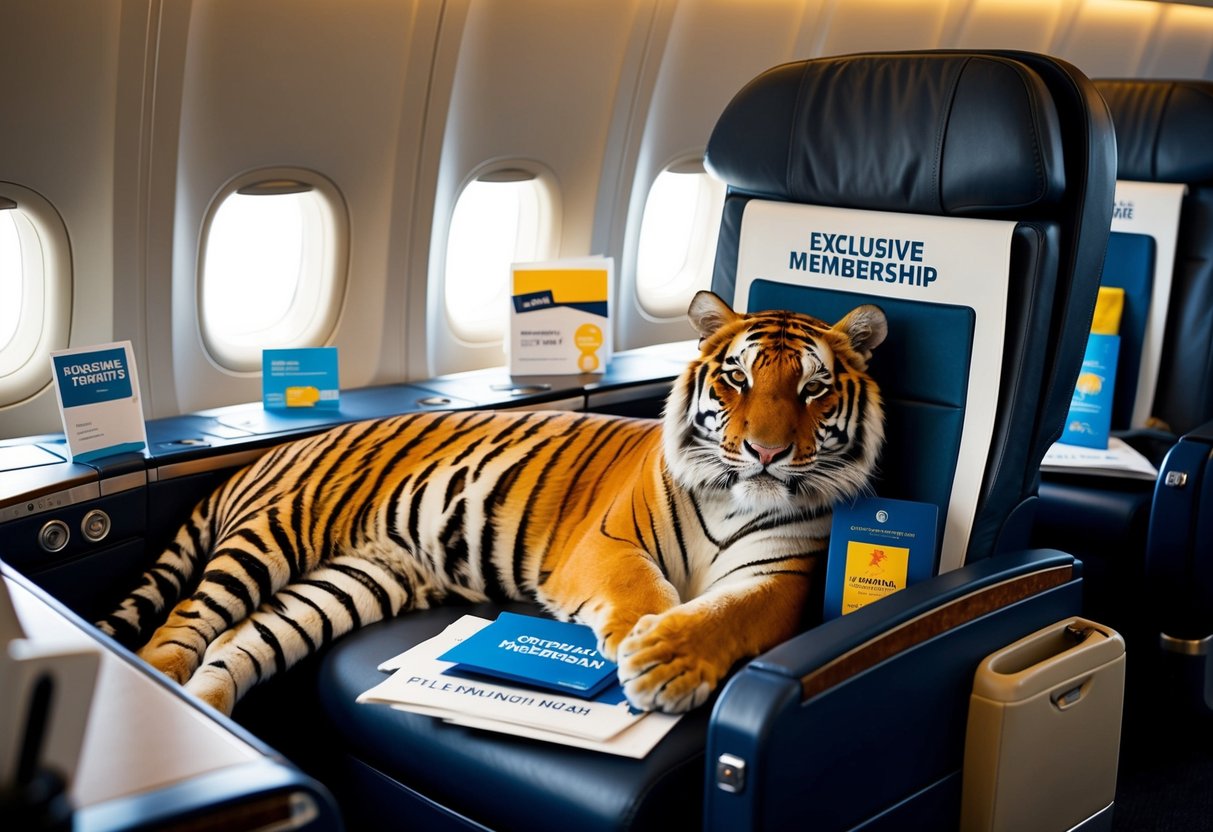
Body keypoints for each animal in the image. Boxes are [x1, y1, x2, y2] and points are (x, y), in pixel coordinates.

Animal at [97, 291, 886, 716]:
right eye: (736, 379)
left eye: (813, 388)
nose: (765, 452)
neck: (732, 499)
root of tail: (266, 452)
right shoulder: (607, 544)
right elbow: (640, 588)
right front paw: (650, 651)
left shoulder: (784, 573)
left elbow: (728, 610)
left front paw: (667, 661)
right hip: (272, 535)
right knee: (179, 624)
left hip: (349, 584)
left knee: (236, 642)